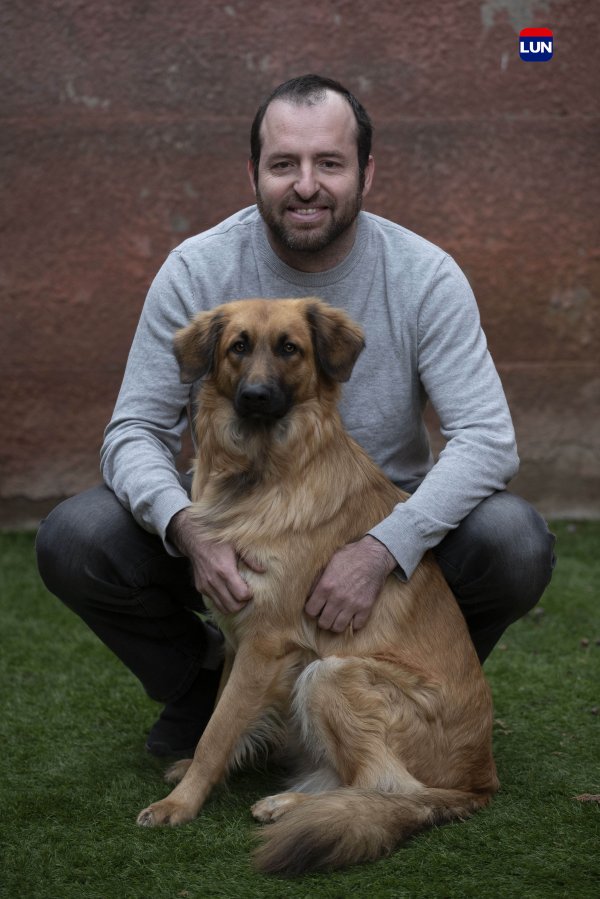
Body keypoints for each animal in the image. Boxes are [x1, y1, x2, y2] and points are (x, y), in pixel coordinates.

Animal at [136, 298, 496, 876]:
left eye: (290, 348)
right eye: (238, 346)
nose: (256, 396)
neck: (263, 469)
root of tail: (480, 782)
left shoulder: (266, 641)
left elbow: (219, 728)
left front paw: (181, 803)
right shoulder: (239, 635)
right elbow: (219, 712)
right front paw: (195, 768)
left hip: (333, 673)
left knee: (386, 785)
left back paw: (296, 806)